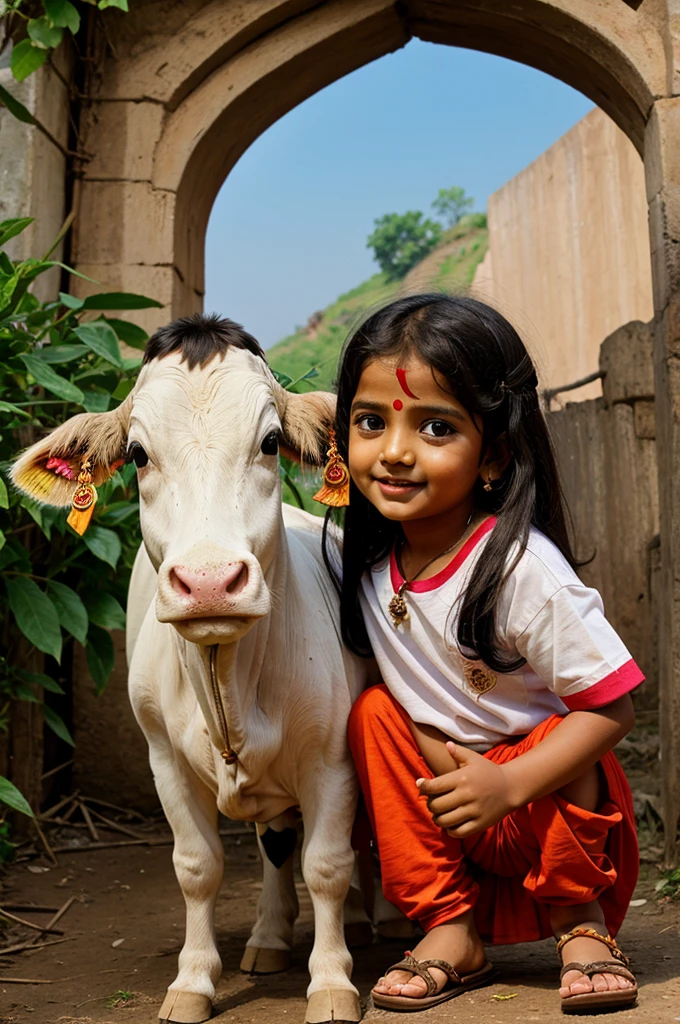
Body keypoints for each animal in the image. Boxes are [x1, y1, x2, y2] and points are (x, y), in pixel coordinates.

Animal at [10, 315, 366, 1019]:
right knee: (273, 842)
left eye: (271, 441)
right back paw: (267, 937)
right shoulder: (163, 759)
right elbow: (198, 866)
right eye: (138, 455)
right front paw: (194, 979)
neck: (228, 682)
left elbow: (329, 866)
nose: (208, 582)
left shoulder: (331, 757)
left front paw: (332, 980)